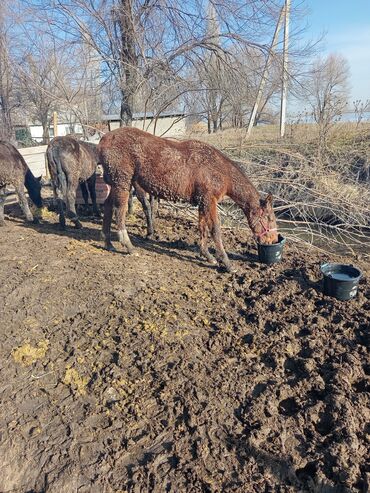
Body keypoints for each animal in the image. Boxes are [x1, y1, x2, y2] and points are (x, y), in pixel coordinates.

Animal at [98, 127, 278, 270]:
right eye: (269, 219)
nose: (274, 240)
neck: (220, 171)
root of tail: (102, 141)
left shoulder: (202, 202)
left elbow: (203, 228)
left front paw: (208, 256)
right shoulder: (209, 200)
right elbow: (215, 229)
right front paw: (226, 262)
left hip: (115, 182)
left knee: (107, 206)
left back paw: (108, 243)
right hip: (122, 182)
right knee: (119, 211)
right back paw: (128, 246)